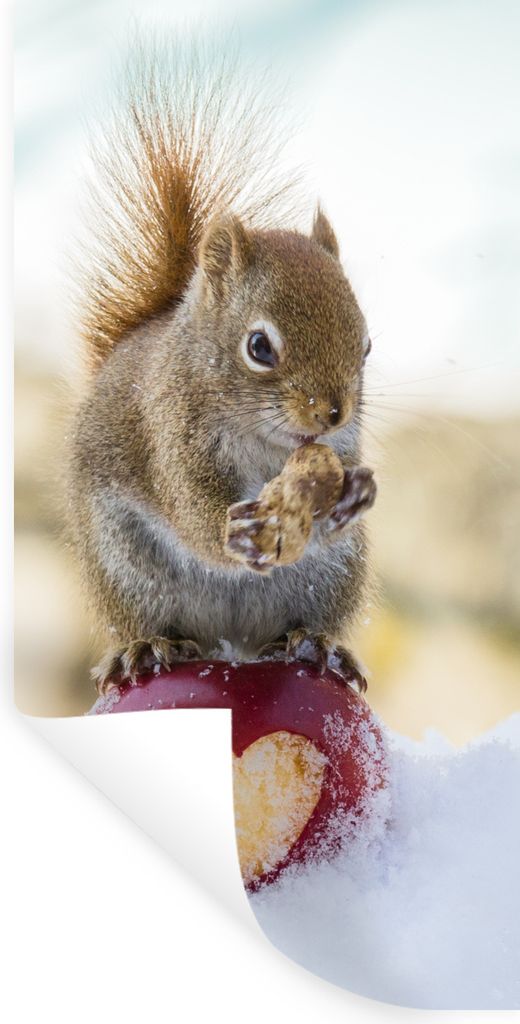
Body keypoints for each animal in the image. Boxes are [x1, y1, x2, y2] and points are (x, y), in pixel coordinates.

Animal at [67, 46, 377, 695]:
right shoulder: (169, 433)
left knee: (303, 622)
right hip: (124, 564)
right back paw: (145, 648)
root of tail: (232, 644)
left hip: (332, 576)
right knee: (150, 617)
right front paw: (230, 532)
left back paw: (315, 644)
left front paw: (356, 492)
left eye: (366, 344)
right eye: (259, 346)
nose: (332, 413)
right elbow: (189, 508)